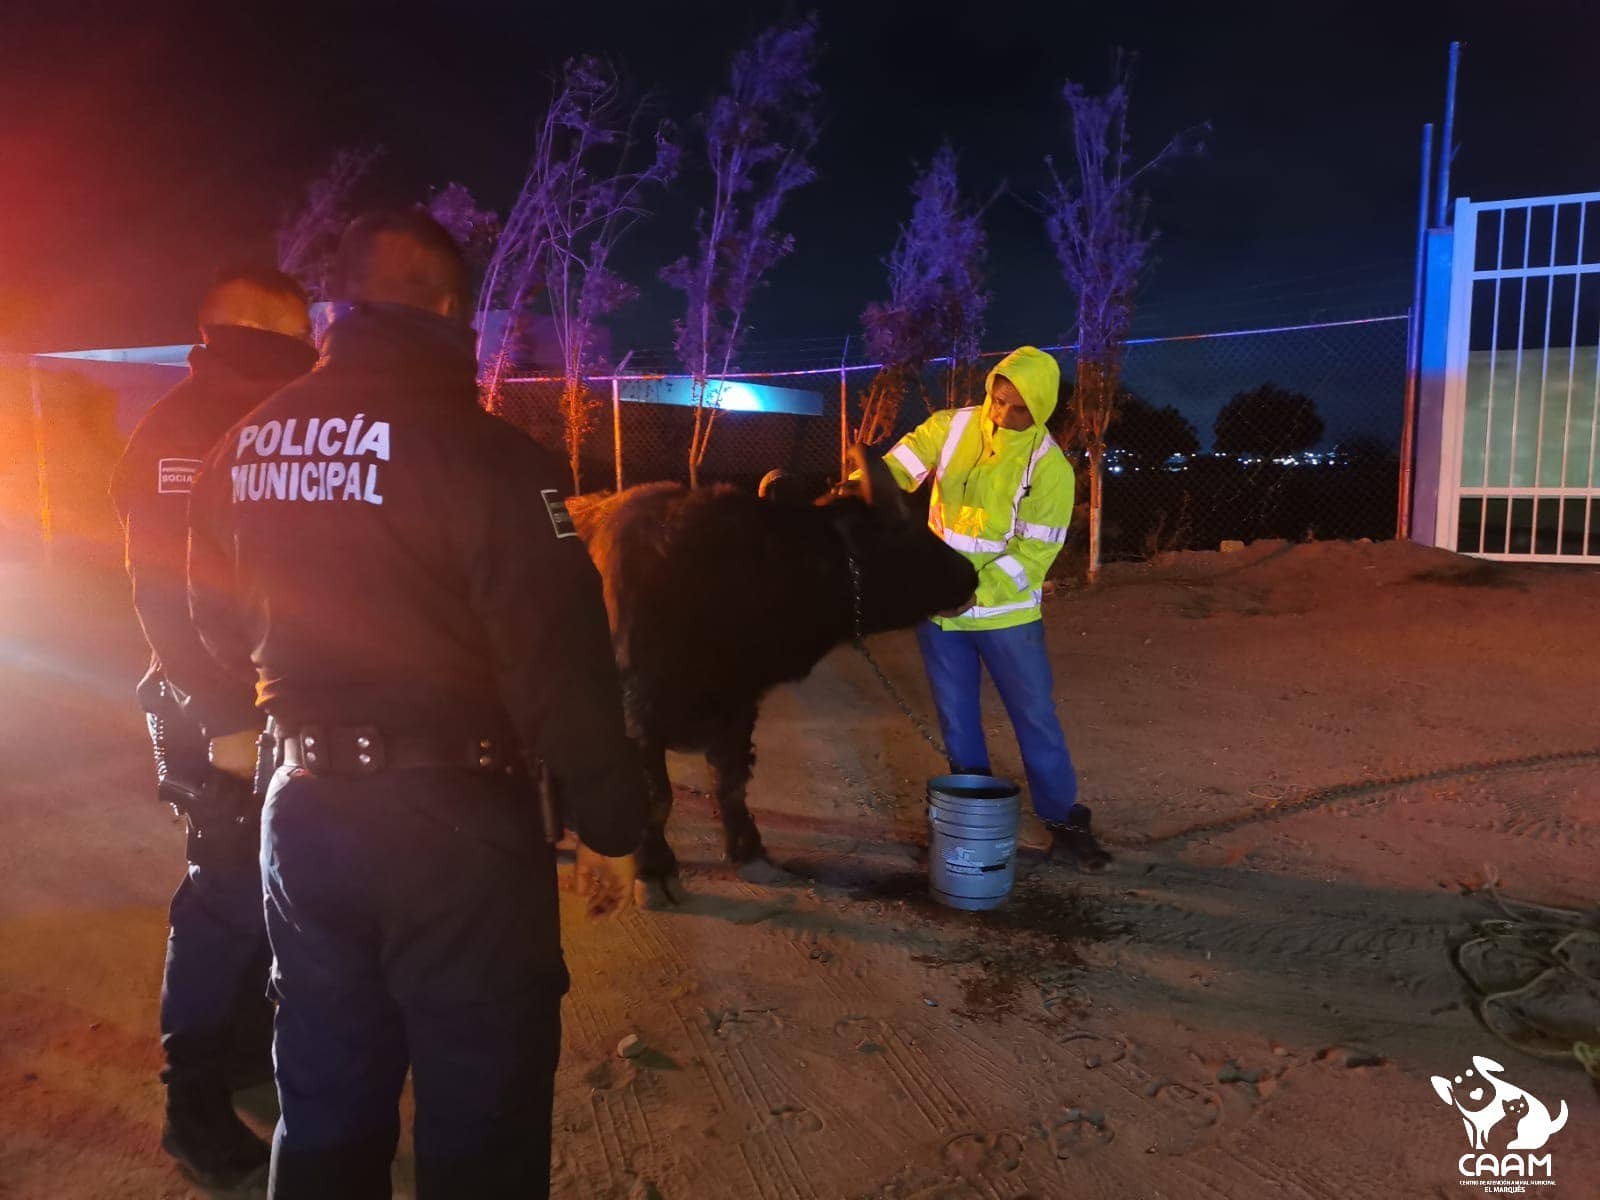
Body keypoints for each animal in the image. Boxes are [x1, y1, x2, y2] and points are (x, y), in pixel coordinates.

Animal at [576, 448, 972, 896]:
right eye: (905, 528)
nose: (970, 573)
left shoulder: (738, 707)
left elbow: (730, 783)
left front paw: (750, 853)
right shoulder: (636, 717)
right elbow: (656, 795)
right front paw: (654, 869)